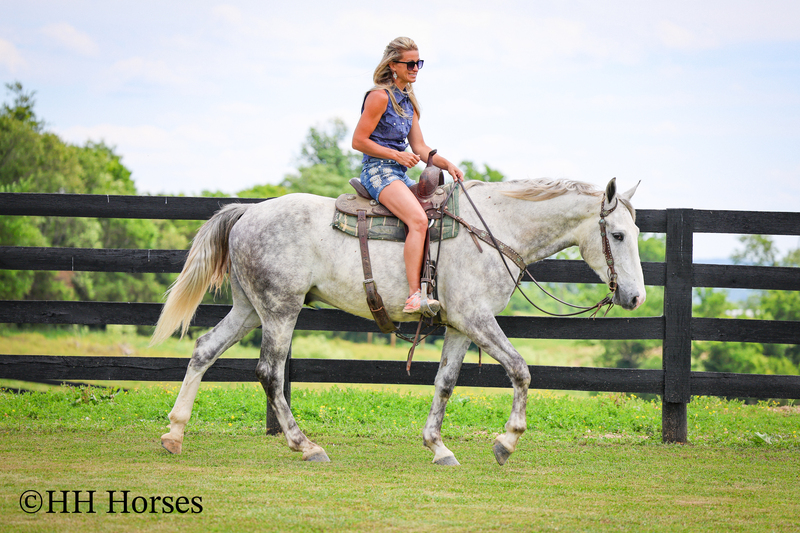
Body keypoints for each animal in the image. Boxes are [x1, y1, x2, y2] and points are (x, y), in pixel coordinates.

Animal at [150, 177, 645, 466]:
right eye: (619, 235)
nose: (636, 296)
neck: (496, 229)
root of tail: (249, 212)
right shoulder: (476, 318)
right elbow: (521, 370)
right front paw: (506, 442)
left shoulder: (460, 326)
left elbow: (445, 383)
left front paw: (438, 446)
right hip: (279, 310)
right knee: (270, 373)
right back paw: (305, 445)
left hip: (249, 309)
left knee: (204, 350)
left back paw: (175, 433)